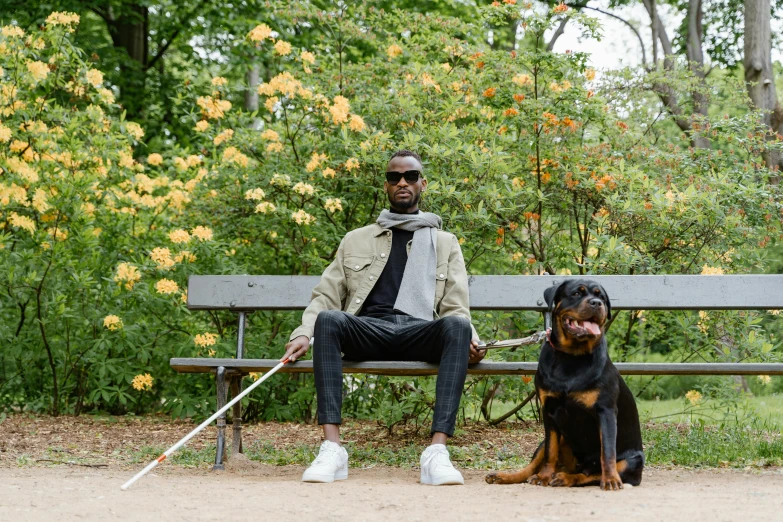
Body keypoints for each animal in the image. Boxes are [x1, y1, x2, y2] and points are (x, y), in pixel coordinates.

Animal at [486, 278, 648, 486]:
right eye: (576, 293)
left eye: (602, 297)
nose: (597, 303)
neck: (571, 357)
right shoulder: (549, 411)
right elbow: (551, 452)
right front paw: (543, 476)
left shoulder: (605, 411)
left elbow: (607, 452)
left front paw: (611, 479)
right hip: (552, 440)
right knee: (534, 464)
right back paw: (508, 476)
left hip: (633, 461)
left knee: (590, 475)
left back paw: (566, 478)